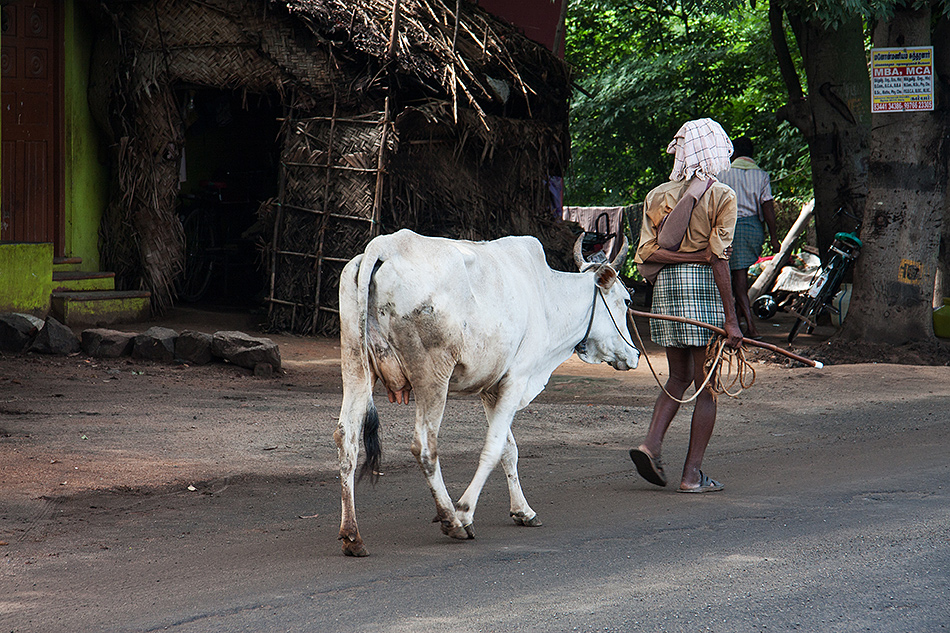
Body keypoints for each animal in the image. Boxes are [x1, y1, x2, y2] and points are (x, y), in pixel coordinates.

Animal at [334, 230, 640, 556]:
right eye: (626, 300)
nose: (634, 354)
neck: (546, 297)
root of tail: (385, 245)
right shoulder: (516, 379)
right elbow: (492, 449)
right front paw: (465, 512)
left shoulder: (491, 389)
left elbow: (509, 449)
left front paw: (523, 511)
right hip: (433, 377)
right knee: (425, 446)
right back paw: (451, 519)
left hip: (356, 367)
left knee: (347, 440)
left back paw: (352, 535)